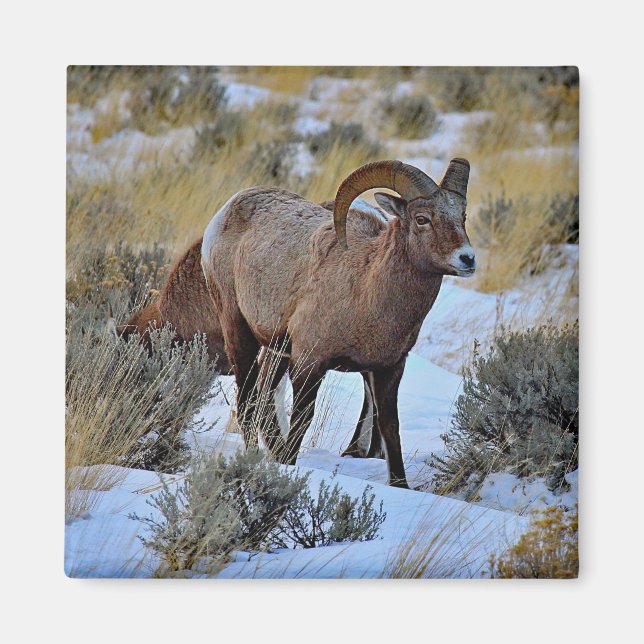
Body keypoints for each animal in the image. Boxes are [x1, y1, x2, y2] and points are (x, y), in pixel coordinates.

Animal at [201, 159, 474, 487]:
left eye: (461, 216)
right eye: (422, 219)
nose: (467, 259)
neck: (367, 290)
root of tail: (228, 208)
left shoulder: (389, 369)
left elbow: (390, 428)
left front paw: (401, 485)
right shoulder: (309, 363)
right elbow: (302, 421)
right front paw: (288, 466)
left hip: (277, 350)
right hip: (239, 333)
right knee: (248, 404)